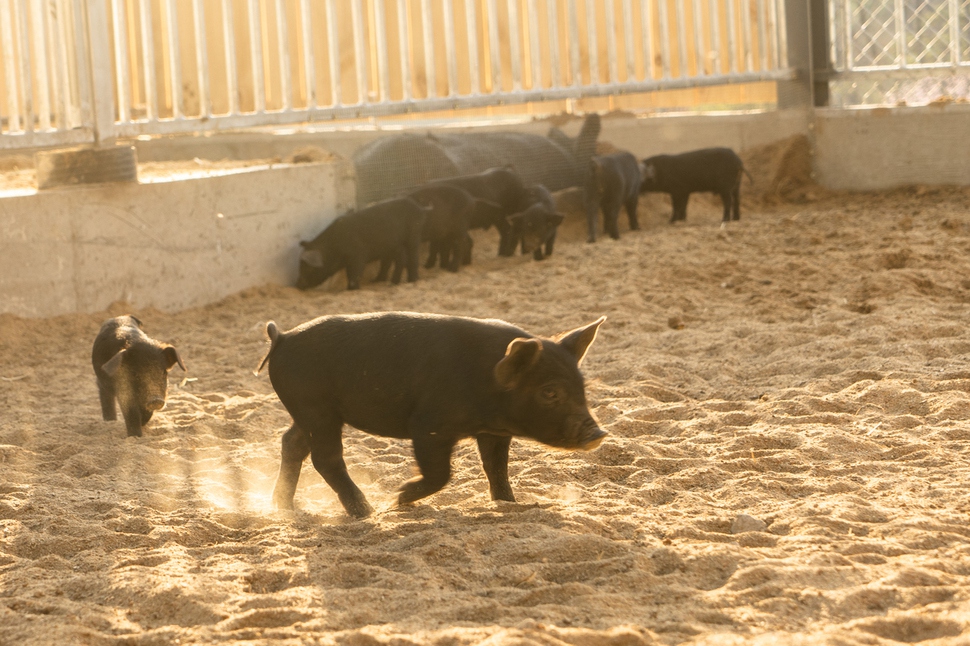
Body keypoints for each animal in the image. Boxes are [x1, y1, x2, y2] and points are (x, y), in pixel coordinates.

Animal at [258, 312, 604, 520]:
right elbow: (441, 473)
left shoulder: (493, 432)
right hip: (316, 409)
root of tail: (281, 337)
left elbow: (496, 468)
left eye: (581, 385)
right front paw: (399, 498)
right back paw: (367, 511)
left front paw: (509, 503)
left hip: (307, 412)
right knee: (325, 458)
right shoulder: (428, 426)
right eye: (550, 392)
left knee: (291, 444)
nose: (597, 434)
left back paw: (283, 508)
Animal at [294, 196, 428, 290]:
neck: (334, 244)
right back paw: (381, 281)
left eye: (307, 267)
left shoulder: (357, 255)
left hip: (414, 234)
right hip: (393, 246)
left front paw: (352, 289)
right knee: (396, 261)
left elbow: (355, 274)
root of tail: (420, 208)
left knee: (412, 257)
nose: (298, 285)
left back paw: (412, 280)